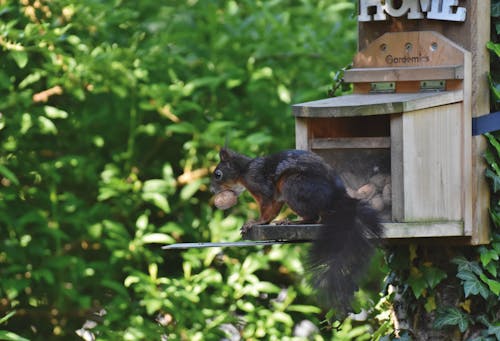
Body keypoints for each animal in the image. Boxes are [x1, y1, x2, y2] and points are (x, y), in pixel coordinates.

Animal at [210, 147, 382, 312]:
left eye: (218, 174)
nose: (212, 190)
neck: (244, 171)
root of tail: (338, 196)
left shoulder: (261, 185)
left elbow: (267, 209)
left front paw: (255, 222)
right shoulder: (276, 198)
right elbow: (274, 209)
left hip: (293, 184)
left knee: (313, 217)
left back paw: (292, 221)